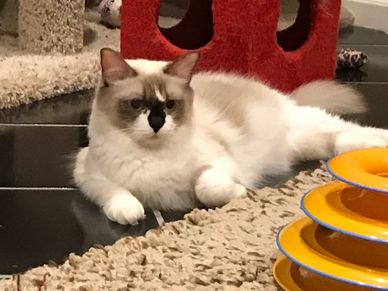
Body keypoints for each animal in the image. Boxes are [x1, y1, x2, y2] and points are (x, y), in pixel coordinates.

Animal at [74, 48, 386, 226]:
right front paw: (131, 212)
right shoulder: (86, 172)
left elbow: (207, 188)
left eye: (170, 105)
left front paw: (241, 194)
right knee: (337, 139)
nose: (157, 124)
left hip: (307, 126)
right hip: (304, 145)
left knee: (347, 129)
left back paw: (377, 143)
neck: (152, 155)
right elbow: (116, 193)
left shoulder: (221, 163)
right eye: (136, 104)